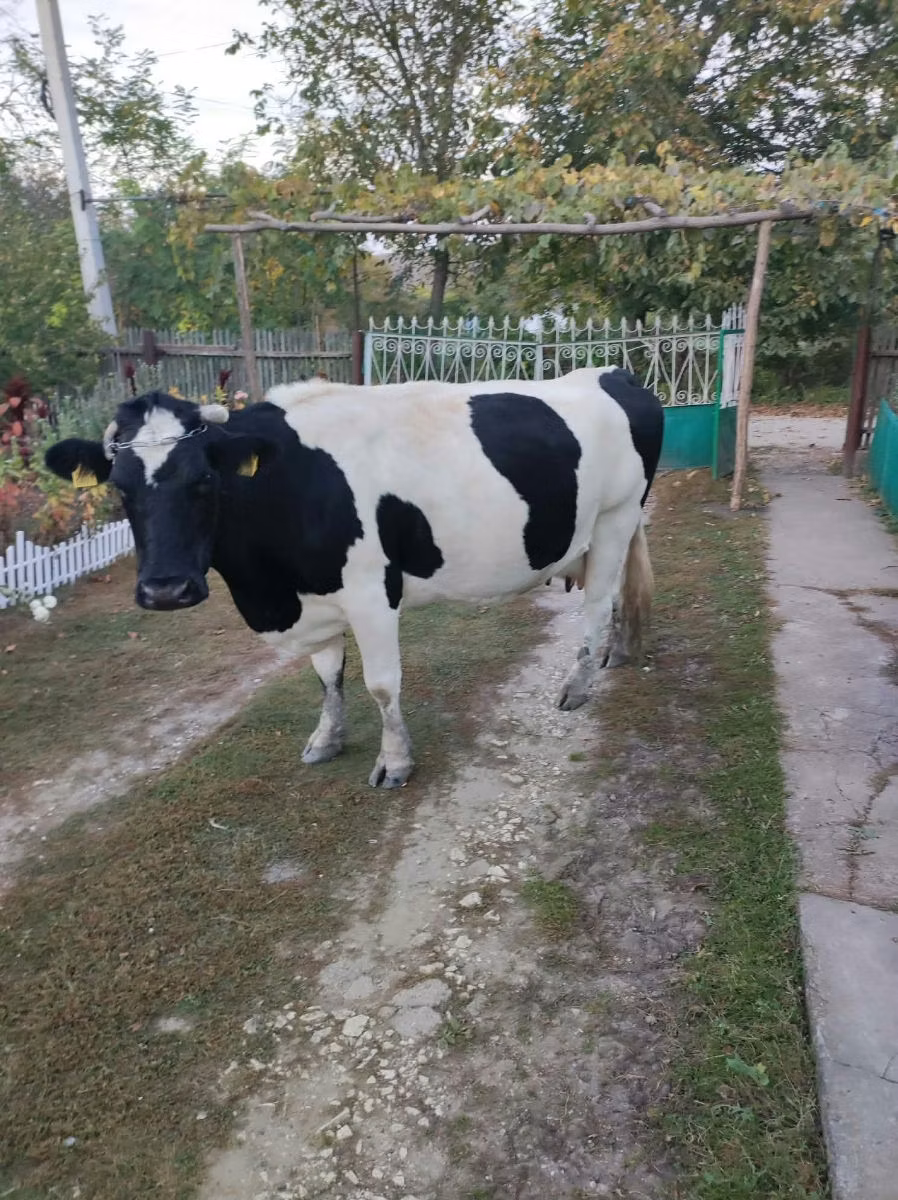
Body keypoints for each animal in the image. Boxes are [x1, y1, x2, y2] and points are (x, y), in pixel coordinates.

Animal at [45, 367, 664, 789]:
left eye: (204, 480)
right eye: (120, 487)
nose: (165, 590)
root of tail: (613, 373)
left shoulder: (371, 592)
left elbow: (381, 685)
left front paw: (394, 762)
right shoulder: (317, 598)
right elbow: (327, 677)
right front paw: (326, 739)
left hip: (615, 515)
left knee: (598, 602)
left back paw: (578, 686)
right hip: (618, 525)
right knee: (623, 588)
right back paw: (620, 651)